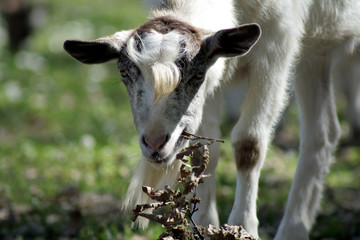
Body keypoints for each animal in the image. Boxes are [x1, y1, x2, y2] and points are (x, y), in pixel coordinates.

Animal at [63, 0, 360, 239]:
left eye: (197, 74)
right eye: (124, 73)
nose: (156, 144)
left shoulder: (279, 41)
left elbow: (249, 144)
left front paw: (244, 228)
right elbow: (203, 151)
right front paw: (207, 225)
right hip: (316, 50)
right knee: (324, 131)